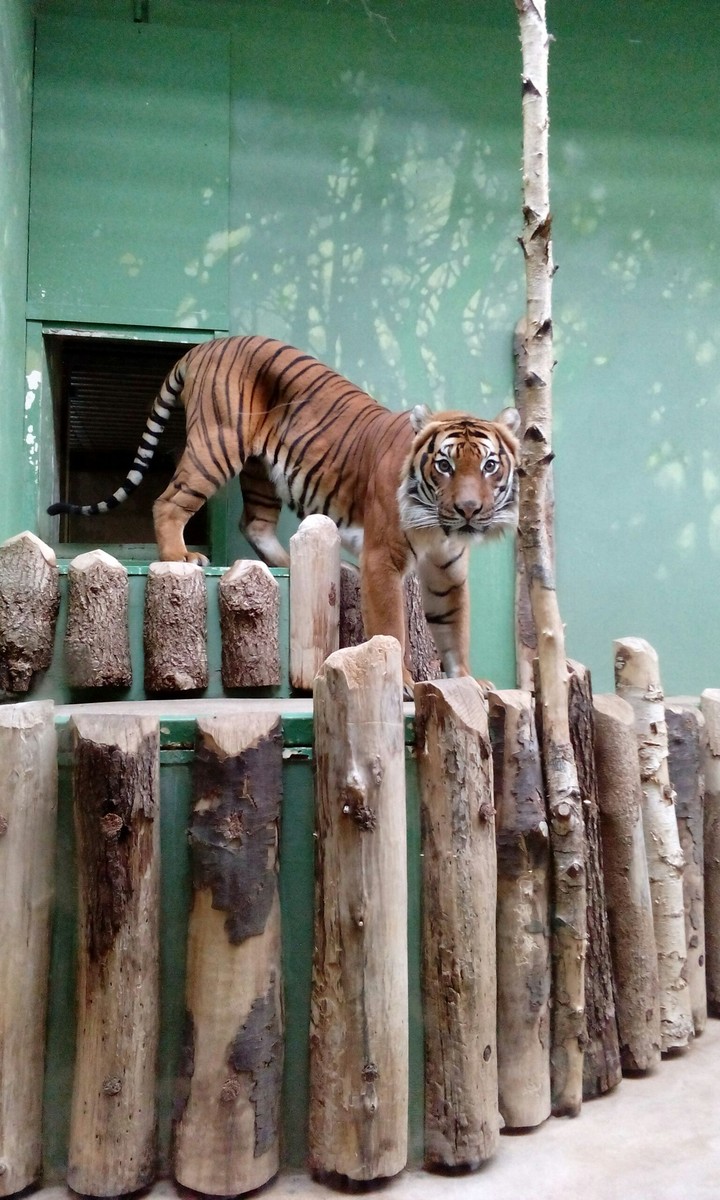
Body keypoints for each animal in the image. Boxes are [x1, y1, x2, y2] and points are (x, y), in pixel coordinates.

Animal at [49, 335, 521, 690]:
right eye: (444, 465)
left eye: (489, 465)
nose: (468, 510)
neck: (439, 528)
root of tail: (206, 346)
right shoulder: (382, 558)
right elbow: (391, 626)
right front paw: (404, 680)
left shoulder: (447, 569)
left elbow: (454, 628)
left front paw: (468, 681)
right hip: (217, 444)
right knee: (169, 501)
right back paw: (178, 556)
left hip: (259, 471)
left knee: (253, 522)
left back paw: (290, 562)